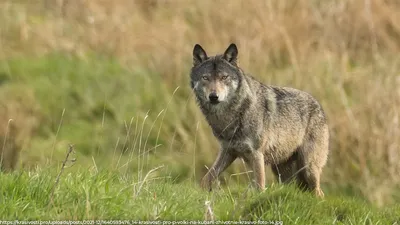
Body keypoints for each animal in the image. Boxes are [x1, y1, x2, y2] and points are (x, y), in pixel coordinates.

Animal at [189, 42, 330, 197]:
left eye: (224, 77)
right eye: (205, 78)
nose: (213, 96)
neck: (236, 114)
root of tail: (319, 106)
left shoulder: (257, 154)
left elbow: (260, 188)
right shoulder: (228, 151)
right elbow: (206, 180)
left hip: (308, 168)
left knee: (319, 193)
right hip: (283, 174)